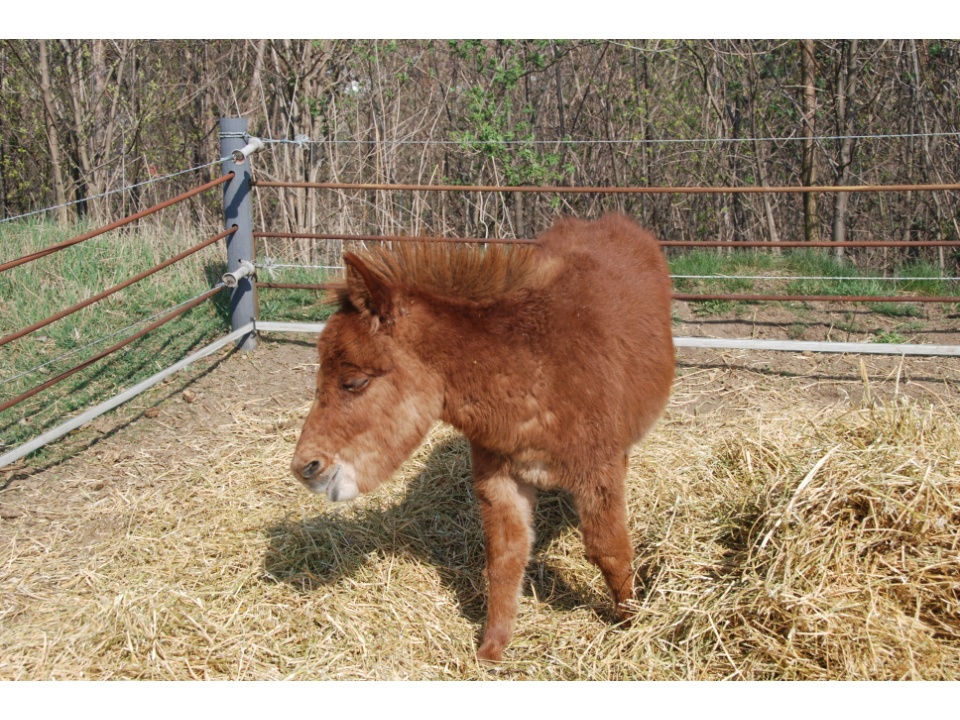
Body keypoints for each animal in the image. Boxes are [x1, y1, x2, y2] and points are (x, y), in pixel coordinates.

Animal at [290, 213, 675, 662]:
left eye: (354, 382)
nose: (305, 468)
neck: (537, 370)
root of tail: (612, 222)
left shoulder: (597, 473)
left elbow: (610, 550)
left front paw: (631, 620)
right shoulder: (500, 480)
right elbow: (505, 555)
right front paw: (493, 648)